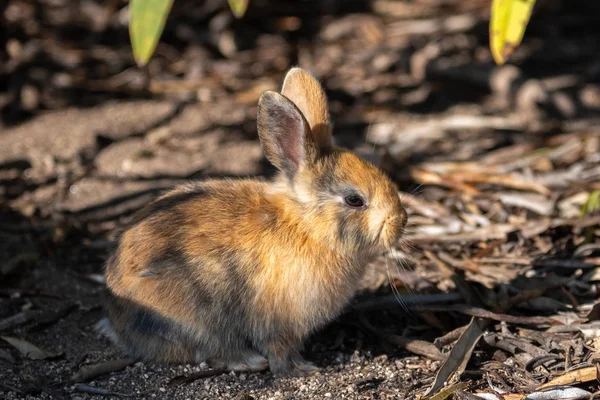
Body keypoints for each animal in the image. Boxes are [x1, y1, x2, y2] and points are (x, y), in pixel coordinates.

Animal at [99, 67, 408, 376]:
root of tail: (115, 316)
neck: (307, 229)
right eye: (354, 200)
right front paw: (301, 369)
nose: (400, 221)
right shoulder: (278, 324)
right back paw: (250, 361)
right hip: (198, 315)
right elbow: (279, 350)